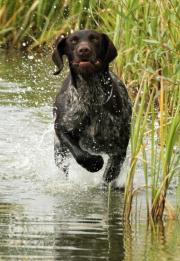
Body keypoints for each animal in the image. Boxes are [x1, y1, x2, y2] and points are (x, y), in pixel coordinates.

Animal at [52, 29, 132, 182]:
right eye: (73, 41)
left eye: (94, 39)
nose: (84, 50)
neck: (91, 97)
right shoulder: (61, 128)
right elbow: (80, 153)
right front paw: (94, 163)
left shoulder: (119, 149)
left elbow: (109, 177)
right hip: (59, 152)